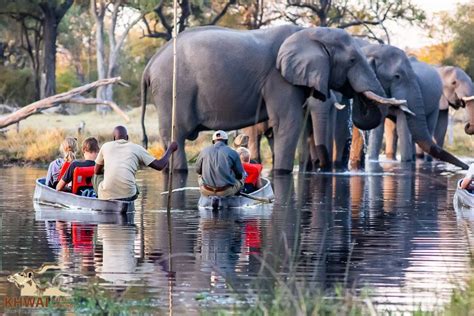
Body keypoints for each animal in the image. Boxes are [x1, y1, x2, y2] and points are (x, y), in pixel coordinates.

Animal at [142, 25, 412, 173]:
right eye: (353, 60)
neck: (309, 32)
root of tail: (150, 64)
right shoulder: (278, 78)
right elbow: (288, 123)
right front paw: (282, 172)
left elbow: (292, 127)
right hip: (171, 90)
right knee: (175, 136)